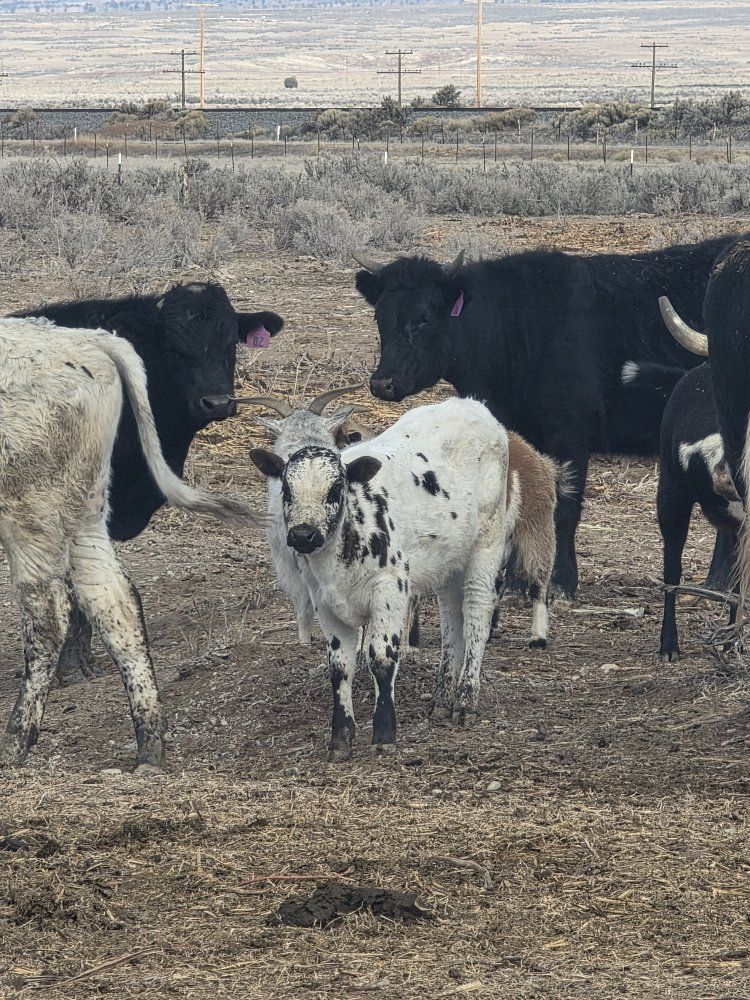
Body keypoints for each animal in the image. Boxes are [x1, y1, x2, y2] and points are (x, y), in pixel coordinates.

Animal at [0, 317, 262, 771]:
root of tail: (84, 339)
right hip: (84, 512)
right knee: (113, 602)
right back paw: (149, 745)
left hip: (29, 513)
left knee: (48, 615)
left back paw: (15, 743)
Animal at [250, 397, 512, 759]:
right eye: (287, 489)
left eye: (336, 489)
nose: (303, 535)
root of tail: (472, 405)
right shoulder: (324, 603)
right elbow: (340, 667)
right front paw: (341, 738)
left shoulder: (391, 588)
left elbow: (381, 657)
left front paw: (384, 732)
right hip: (448, 562)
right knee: (451, 620)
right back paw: (442, 699)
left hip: (486, 542)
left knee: (476, 614)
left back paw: (465, 701)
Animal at [354, 235, 739, 597]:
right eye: (380, 318)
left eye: (424, 318)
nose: (383, 383)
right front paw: (515, 581)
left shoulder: (570, 434)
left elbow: (566, 506)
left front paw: (561, 581)